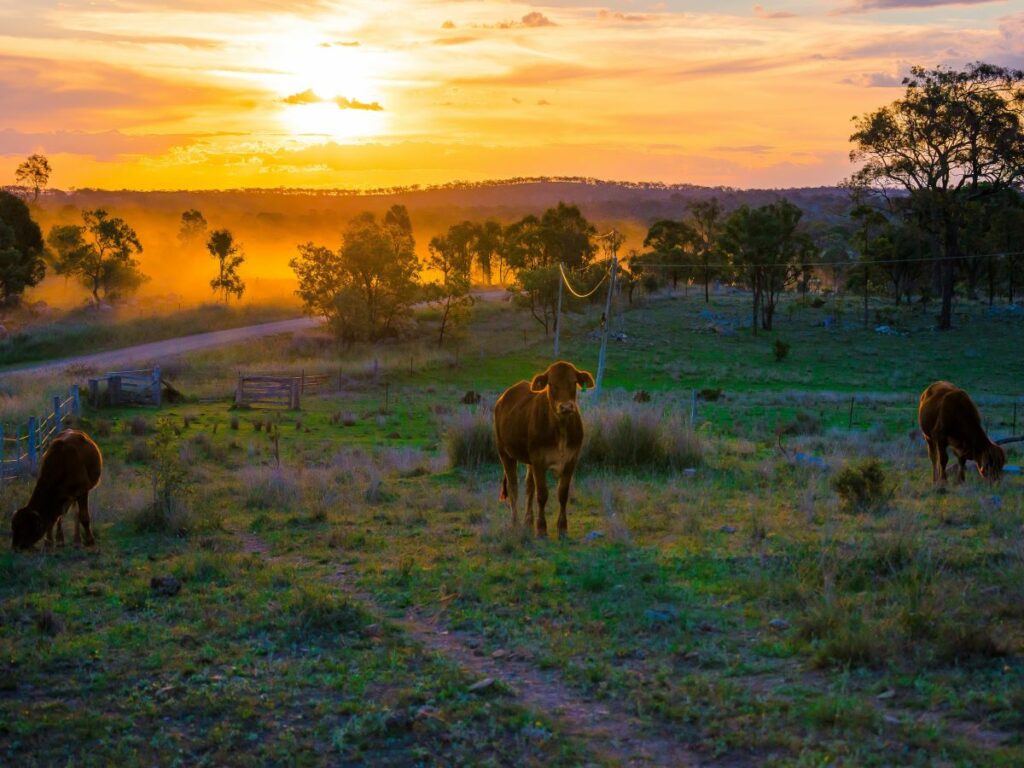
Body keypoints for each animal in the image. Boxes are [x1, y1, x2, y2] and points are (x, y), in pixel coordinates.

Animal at [491, 362, 598, 536]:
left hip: (529, 460)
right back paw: (515, 522)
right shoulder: (539, 461)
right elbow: (542, 494)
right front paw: (541, 528)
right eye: (551, 384)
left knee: (529, 487)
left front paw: (562, 528)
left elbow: (562, 493)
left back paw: (528, 521)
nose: (566, 406)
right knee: (513, 487)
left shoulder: (571, 460)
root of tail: (502, 398)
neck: (561, 430)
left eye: (573, 382)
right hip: (505, 453)